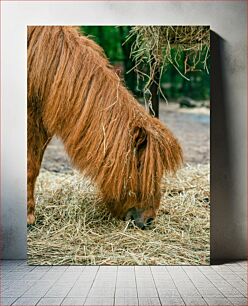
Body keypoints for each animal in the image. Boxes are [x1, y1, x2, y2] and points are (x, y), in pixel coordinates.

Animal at [27, 25, 182, 227]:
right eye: (140, 167)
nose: (149, 220)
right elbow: (30, 167)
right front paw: (28, 217)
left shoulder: (39, 126)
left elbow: (34, 167)